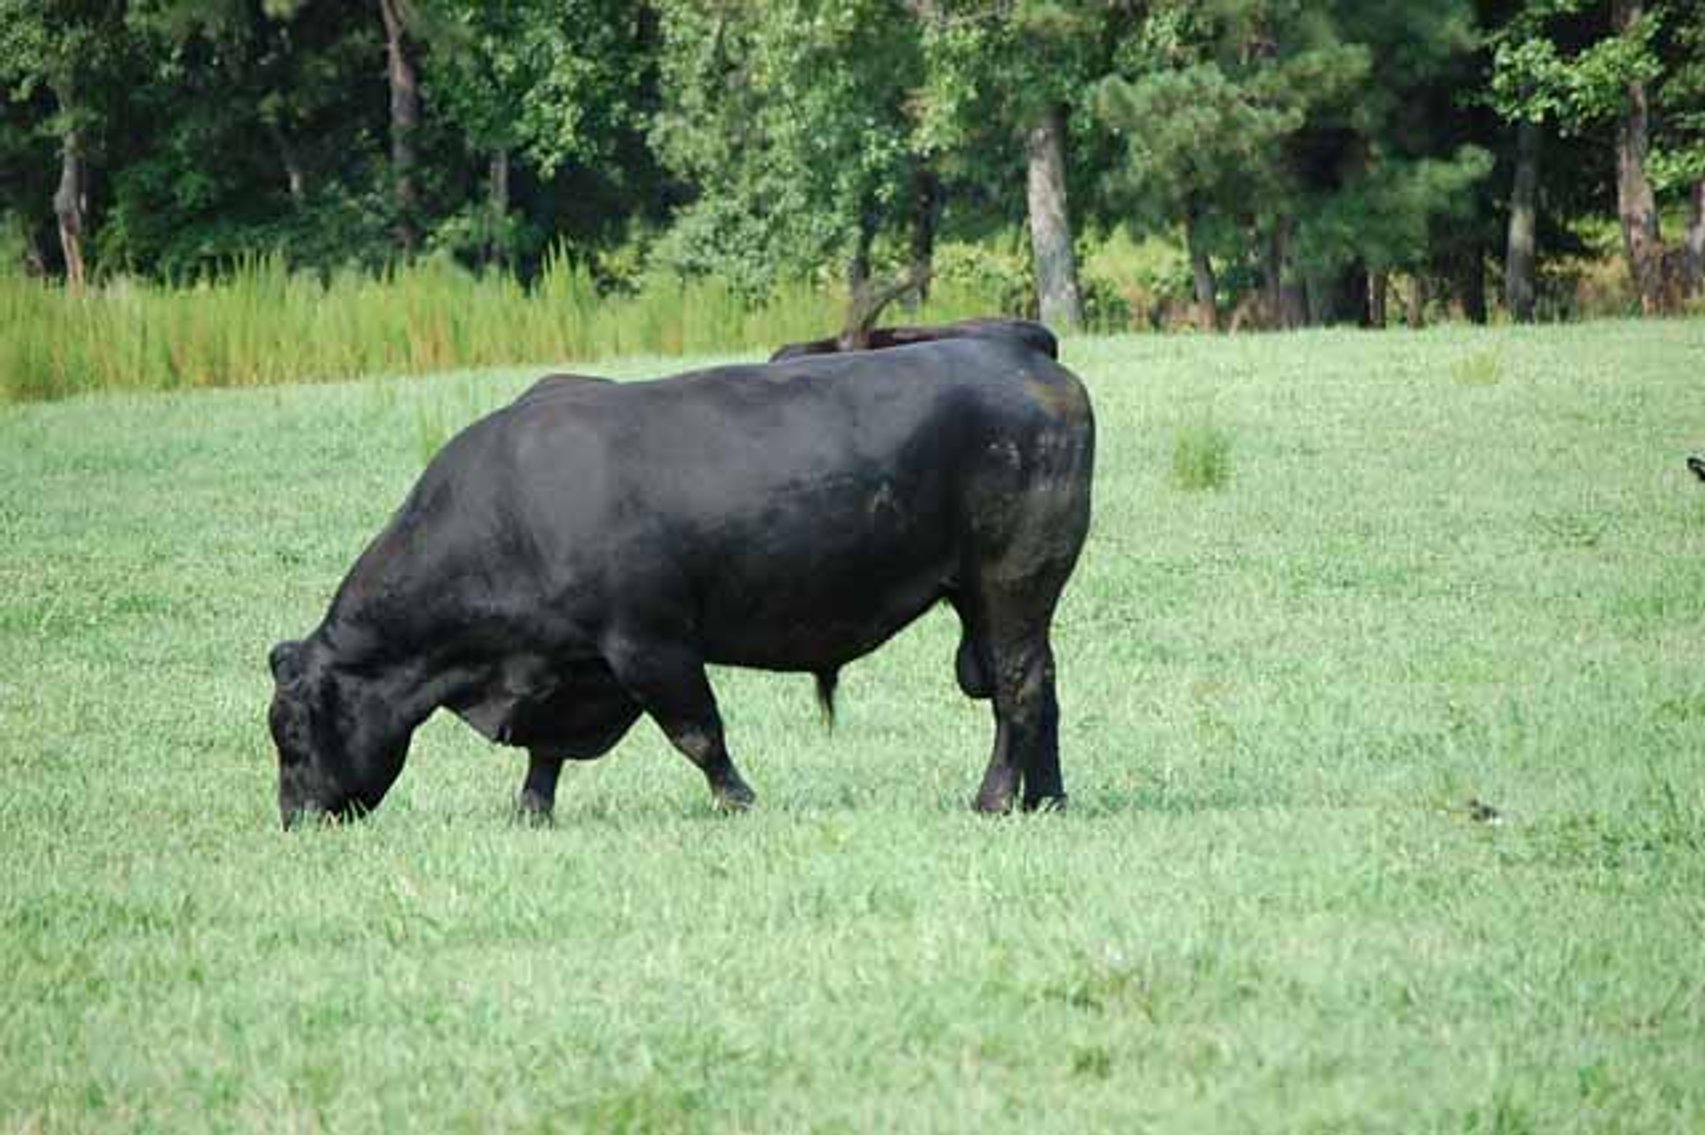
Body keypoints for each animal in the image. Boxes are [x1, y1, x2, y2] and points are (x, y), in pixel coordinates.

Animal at [267, 337, 1094, 828]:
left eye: (292, 733)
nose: (295, 818)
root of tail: (1019, 349)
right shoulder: (572, 667)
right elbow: (547, 752)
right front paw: (531, 811)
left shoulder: (647, 642)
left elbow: (698, 731)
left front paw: (738, 800)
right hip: (990, 598)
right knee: (1041, 683)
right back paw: (1048, 797)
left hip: (1011, 582)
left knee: (1017, 686)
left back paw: (993, 799)